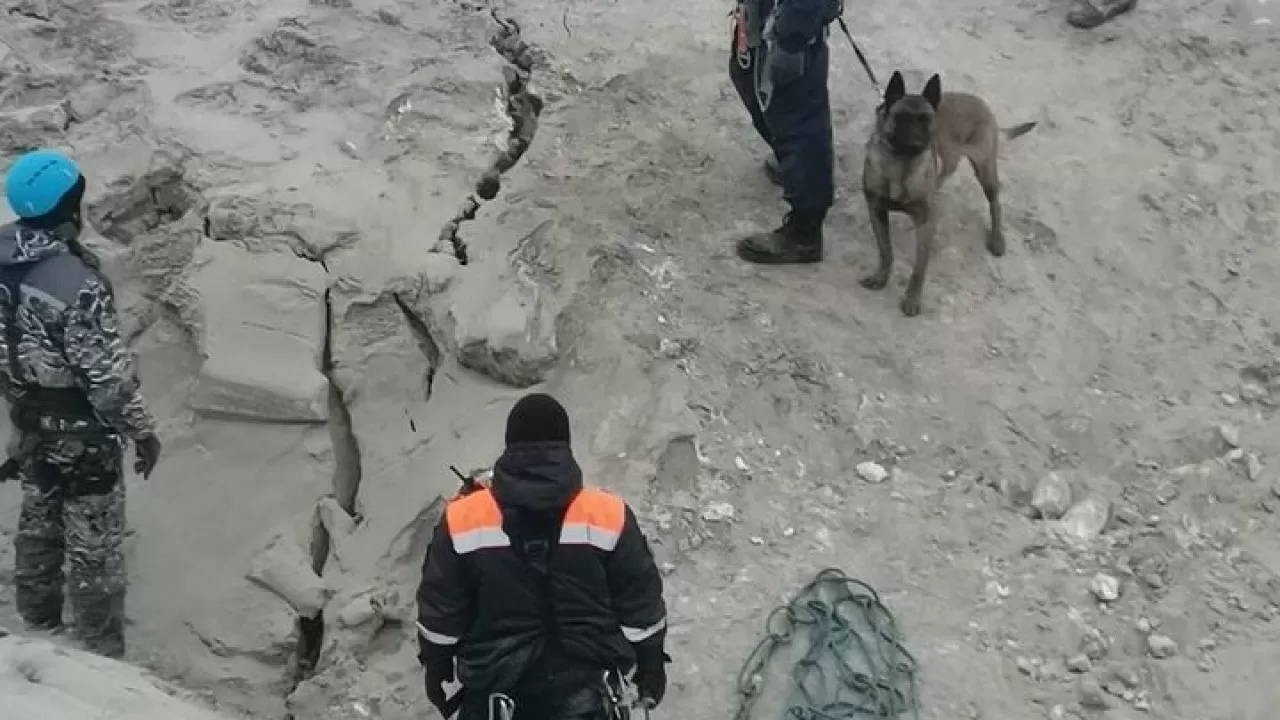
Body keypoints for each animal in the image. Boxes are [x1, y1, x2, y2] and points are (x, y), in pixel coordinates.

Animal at [860, 71, 1029, 315]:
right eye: (900, 117)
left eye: (927, 119)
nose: (917, 136)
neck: (901, 163)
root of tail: (981, 103)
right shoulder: (877, 211)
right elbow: (886, 251)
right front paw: (881, 277)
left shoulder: (927, 223)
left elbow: (919, 267)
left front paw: (913, 299)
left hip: (985, 170)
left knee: (995, 202)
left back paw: (997, 239)